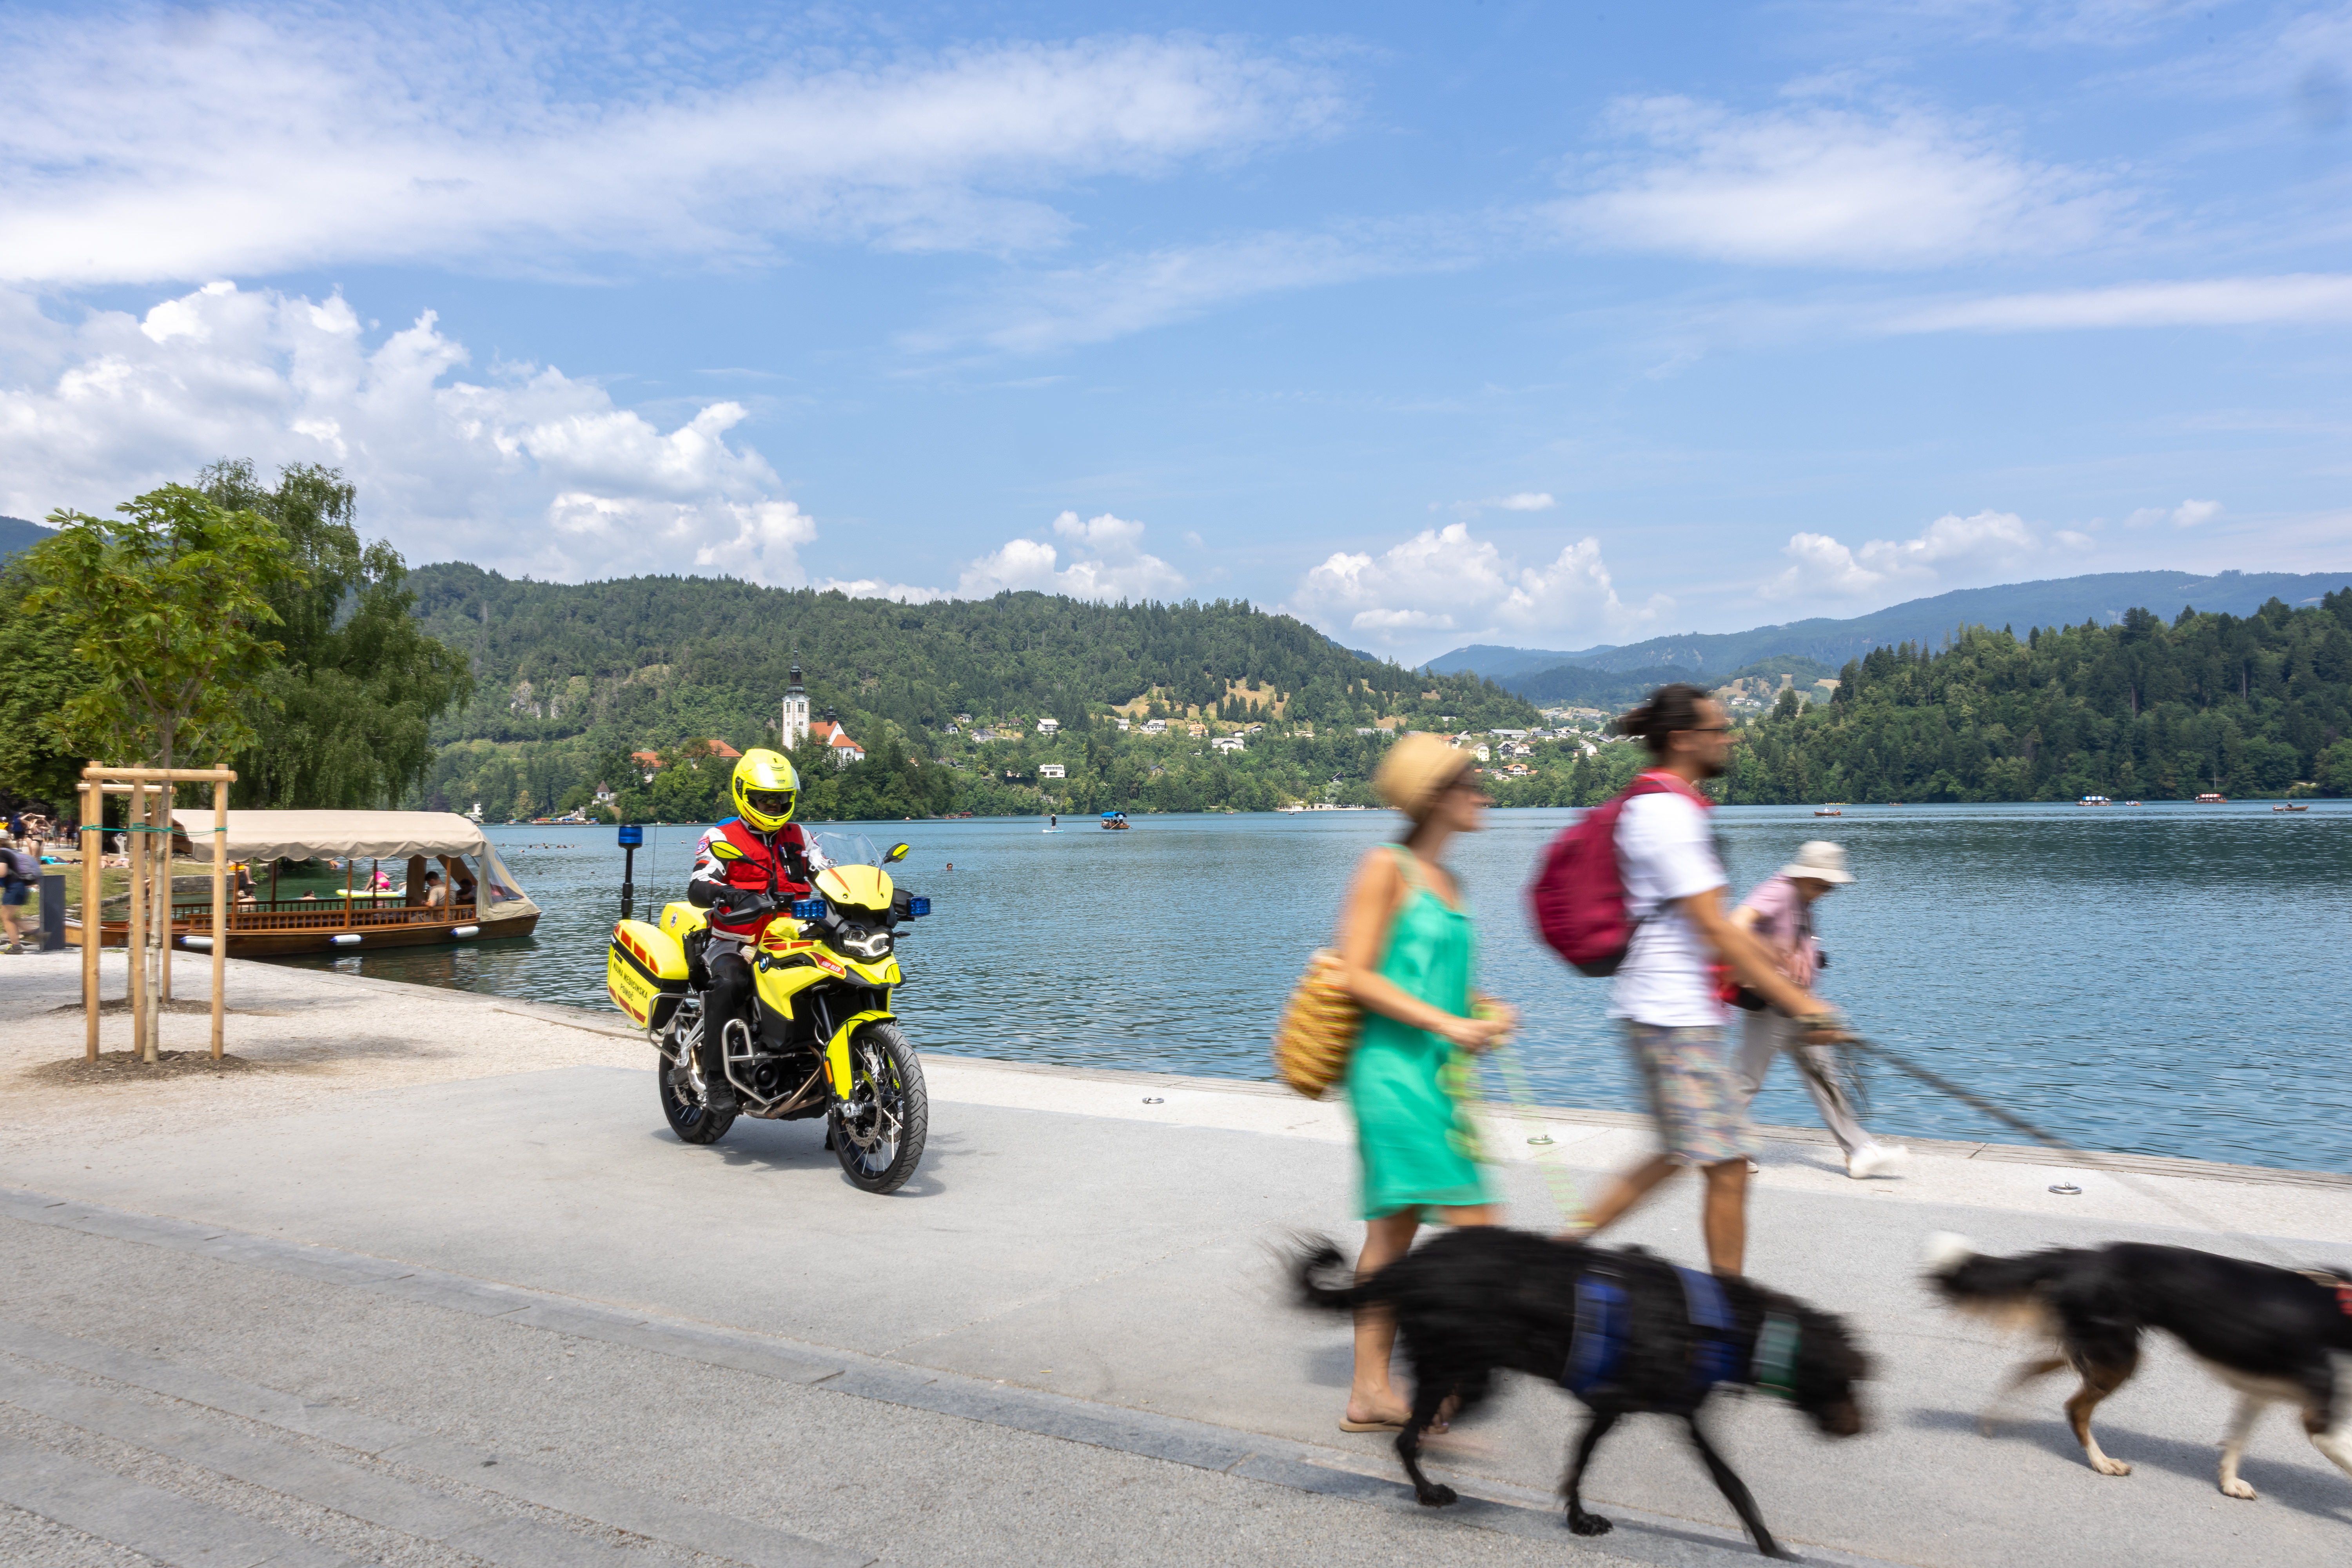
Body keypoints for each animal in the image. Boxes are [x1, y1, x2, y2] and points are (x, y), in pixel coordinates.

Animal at [1293, 1228, 1868, 1558]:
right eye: (1847, 1381)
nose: (1863, 1427)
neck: (1721, 1324)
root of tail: (1409, 1265)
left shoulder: (1668, 1414)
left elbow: (1729, 1483)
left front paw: (1771, 1545)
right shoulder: (1615, 1405)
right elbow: (1588, 1460)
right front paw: (1580, 1518)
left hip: (1468, 1368)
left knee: (1421, 1427)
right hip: (1453, 1364)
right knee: (1409, 1437)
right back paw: (1430, 1489)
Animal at [1924, 1234, 2352, 1499]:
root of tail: (2085, 1255)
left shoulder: (2259, 1391)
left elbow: (2236, 1441)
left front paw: (2230, 1484)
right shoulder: (2321, 1419)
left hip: (2098, 1349)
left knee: (2028, 1372)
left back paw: (1995, 1417)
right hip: (2119, 1356)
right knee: (2075, 1407)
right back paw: (2102, 1463)